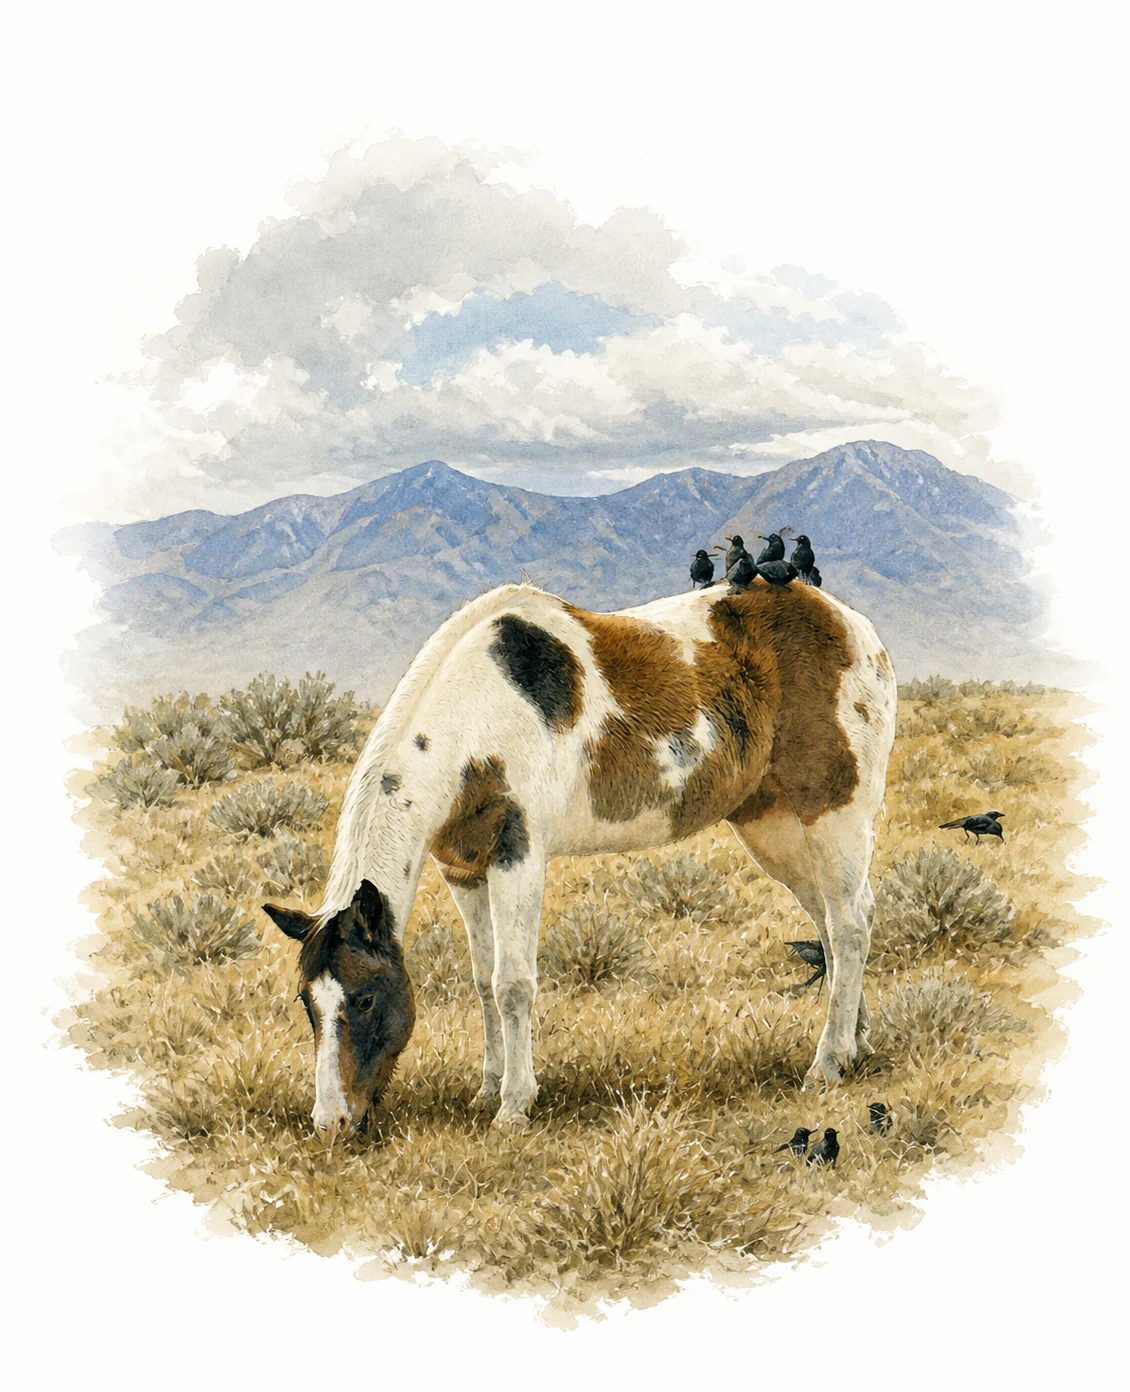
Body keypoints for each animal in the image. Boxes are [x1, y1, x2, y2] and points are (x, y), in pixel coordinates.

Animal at [263, 578, 897, 1135]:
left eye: (366, 997)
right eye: (307, 1003)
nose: (331, 1123)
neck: (474, 718)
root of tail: (854, 627)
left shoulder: (518, 855)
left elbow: (512, 983)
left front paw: (514, 1107)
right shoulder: (463, 870)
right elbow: (481, 980)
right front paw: (488, 1089)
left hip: (832, 812)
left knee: (849, 926)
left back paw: (827, 1064)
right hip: (771, 825)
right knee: (832, 923)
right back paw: (856, 1043)